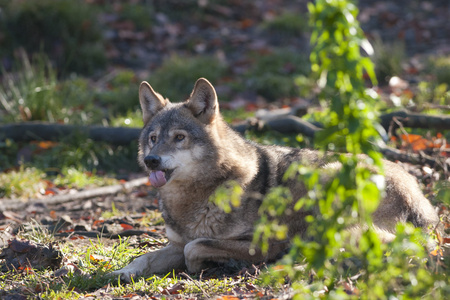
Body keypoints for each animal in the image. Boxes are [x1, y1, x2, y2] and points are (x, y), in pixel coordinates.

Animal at [110, 77, 438, 282]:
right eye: (153, 139)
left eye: (179, 138)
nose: (152, 160)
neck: (196, 197)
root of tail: (425, 210)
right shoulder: (175, 244)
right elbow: (146, 258)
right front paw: (120, 272)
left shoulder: (261, 242)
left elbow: (196, 247)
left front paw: (205, 265)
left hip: (326, 176)